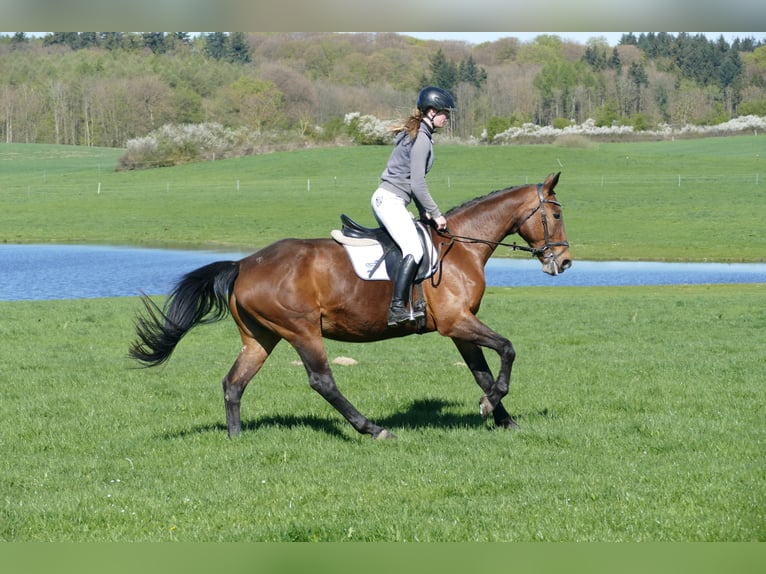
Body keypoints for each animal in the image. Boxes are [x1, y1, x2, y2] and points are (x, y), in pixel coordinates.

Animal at [129, 172, 572, 439]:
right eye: (555, 213)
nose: (564, 262)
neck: (460, 246)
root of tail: (244, 264)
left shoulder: (460, 328)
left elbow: (482, 372)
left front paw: (502, 416)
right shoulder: (455, 322)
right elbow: (508, 349)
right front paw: (490, 407)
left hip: (261, 337)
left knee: (234, 382)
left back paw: (236, 437)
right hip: (302, 330)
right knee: (322, 381)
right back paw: (372, 429)